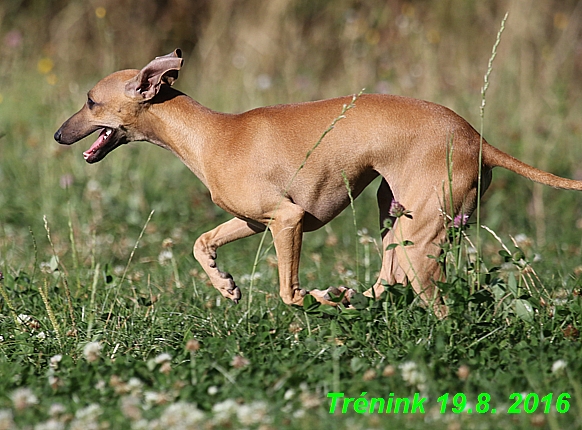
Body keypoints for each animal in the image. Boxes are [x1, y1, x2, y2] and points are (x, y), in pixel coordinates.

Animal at [54, 51, 582, 320]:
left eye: (90, 101)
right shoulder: (254, 221)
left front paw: (307, 297)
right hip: (395, 217)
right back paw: (347, 298)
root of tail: (479, 139)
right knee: (384, 284)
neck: (209, 133)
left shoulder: (286, 221)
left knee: (430, 301)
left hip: (420, 235)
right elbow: (202, 243)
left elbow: (289, 292)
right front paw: (225, 285)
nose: (59, 135)